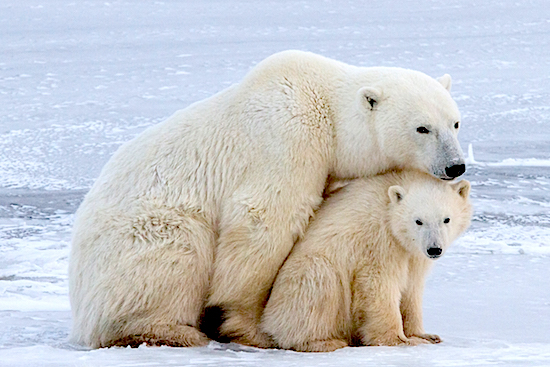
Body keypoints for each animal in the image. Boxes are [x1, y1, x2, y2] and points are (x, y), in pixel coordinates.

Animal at [260, 170, 472, 354]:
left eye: (446, 219)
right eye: (418, 221)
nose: (434, 249)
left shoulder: (413, 254)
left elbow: (412, 288)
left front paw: (425, 335)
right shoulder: (379, 241)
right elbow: (378, 285)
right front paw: (398, 340)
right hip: (299, 282)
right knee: (319, 283)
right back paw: (324, 342)